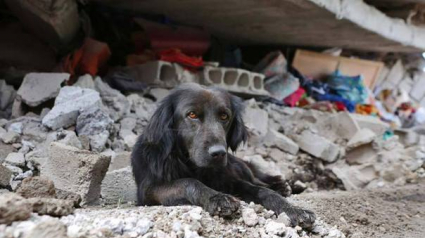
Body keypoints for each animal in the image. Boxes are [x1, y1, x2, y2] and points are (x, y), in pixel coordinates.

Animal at [132, 83, 314, 227]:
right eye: (192, 114)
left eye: (224, 116)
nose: (218, 153)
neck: (196, 168)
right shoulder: (149, 190)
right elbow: (188, 182)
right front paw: (218, 198)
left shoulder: (231, 180)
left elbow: (262, 191)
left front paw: (293, 209)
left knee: (259, 180)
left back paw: (283, 186)